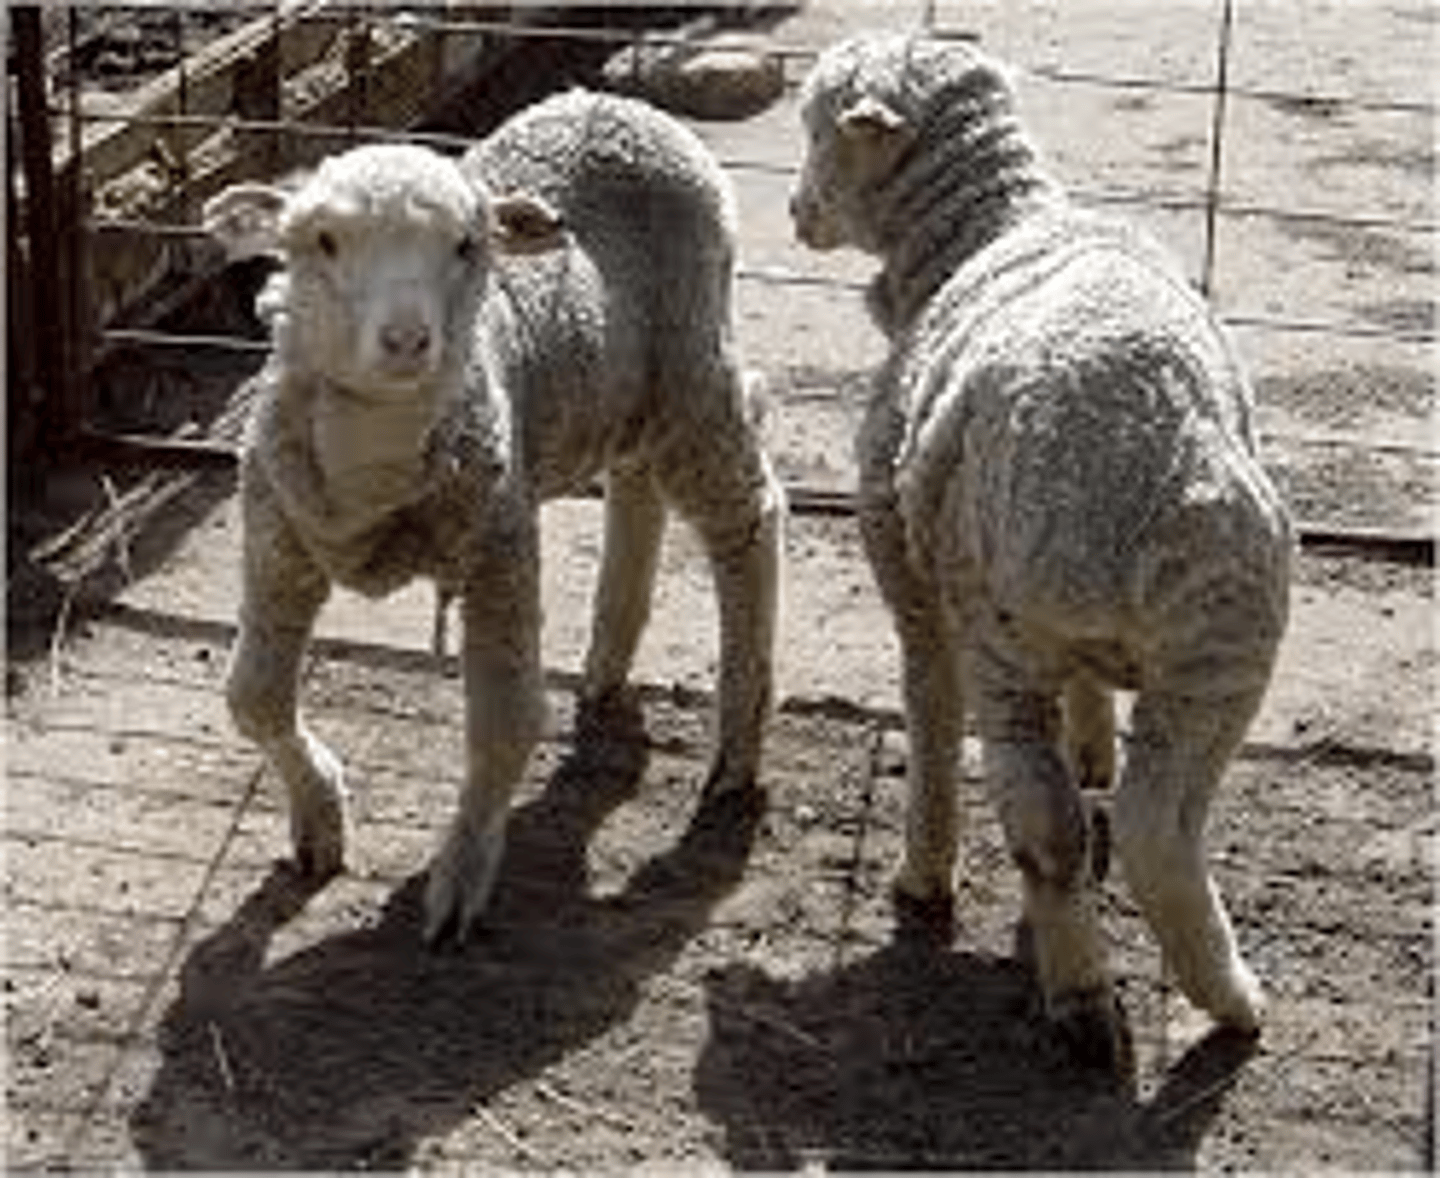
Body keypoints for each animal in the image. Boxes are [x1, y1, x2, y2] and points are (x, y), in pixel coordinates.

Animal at [205, 90, 785, 947]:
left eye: (465, 246)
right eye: (324, 241)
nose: (407, 340)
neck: (376, 474)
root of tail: (619, 103)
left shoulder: (499, 549)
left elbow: (507, 722)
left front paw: (461, 878)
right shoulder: (277, 540)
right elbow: (254, 698)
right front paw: (321, 817)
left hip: (690, 360)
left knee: (749, 516)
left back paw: (736, 748)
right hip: (618, 391)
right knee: (637, 482)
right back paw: (607, 661)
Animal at [791, 34, 1292, 1069]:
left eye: (816, 129)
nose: (795, 212)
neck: (987, 228)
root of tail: (1122, 483)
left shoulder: (908, 570)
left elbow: (928, 709)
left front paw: (923, 875)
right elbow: (1086, 703)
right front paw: (1093, 737)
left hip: (1002, 632)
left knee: (1039, 815)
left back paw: (1085, 998)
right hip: (1224, 635)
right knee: (1154, 822)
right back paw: (1217, 995)